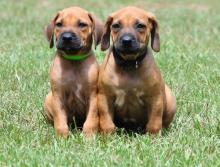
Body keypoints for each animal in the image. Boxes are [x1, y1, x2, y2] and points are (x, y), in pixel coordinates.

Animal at [44, 6, 103, 137]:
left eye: (82, 24)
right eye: (59, 24)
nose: (66, 37)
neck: (74, 61)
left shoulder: (93, 96)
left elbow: (91, 120)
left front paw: (89, 136)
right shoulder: (58, 95)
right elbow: (60, 118)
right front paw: (62, 136)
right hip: (48, 98)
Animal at [97, 6, 176, 134]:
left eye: (140, 26)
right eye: (116, 26)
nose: (126, 41)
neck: (129, 64)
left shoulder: (155, 98)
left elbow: (154, 123)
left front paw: (153, 137)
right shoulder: (105, 97)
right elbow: (107, 122)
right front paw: (108, 136)